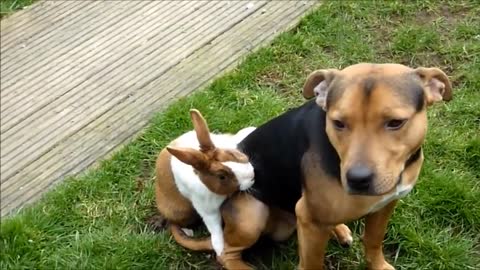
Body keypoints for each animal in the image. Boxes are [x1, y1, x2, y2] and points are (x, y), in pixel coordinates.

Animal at [156, 108, 256, 256]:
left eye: (231, 154)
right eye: (221, 176)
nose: (252, 175)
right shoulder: (207, 209)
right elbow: (214, 227)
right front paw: (219, 248)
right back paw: (188, 232)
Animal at [216, 62, 452, 268]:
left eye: (395, 122)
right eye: (338, 123)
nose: (358, 179)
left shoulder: (386, 205)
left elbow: (374, 241)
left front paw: (378, 265)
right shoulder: (309, 221)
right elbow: (312, 264)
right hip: (252, 216)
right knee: (225, 253)